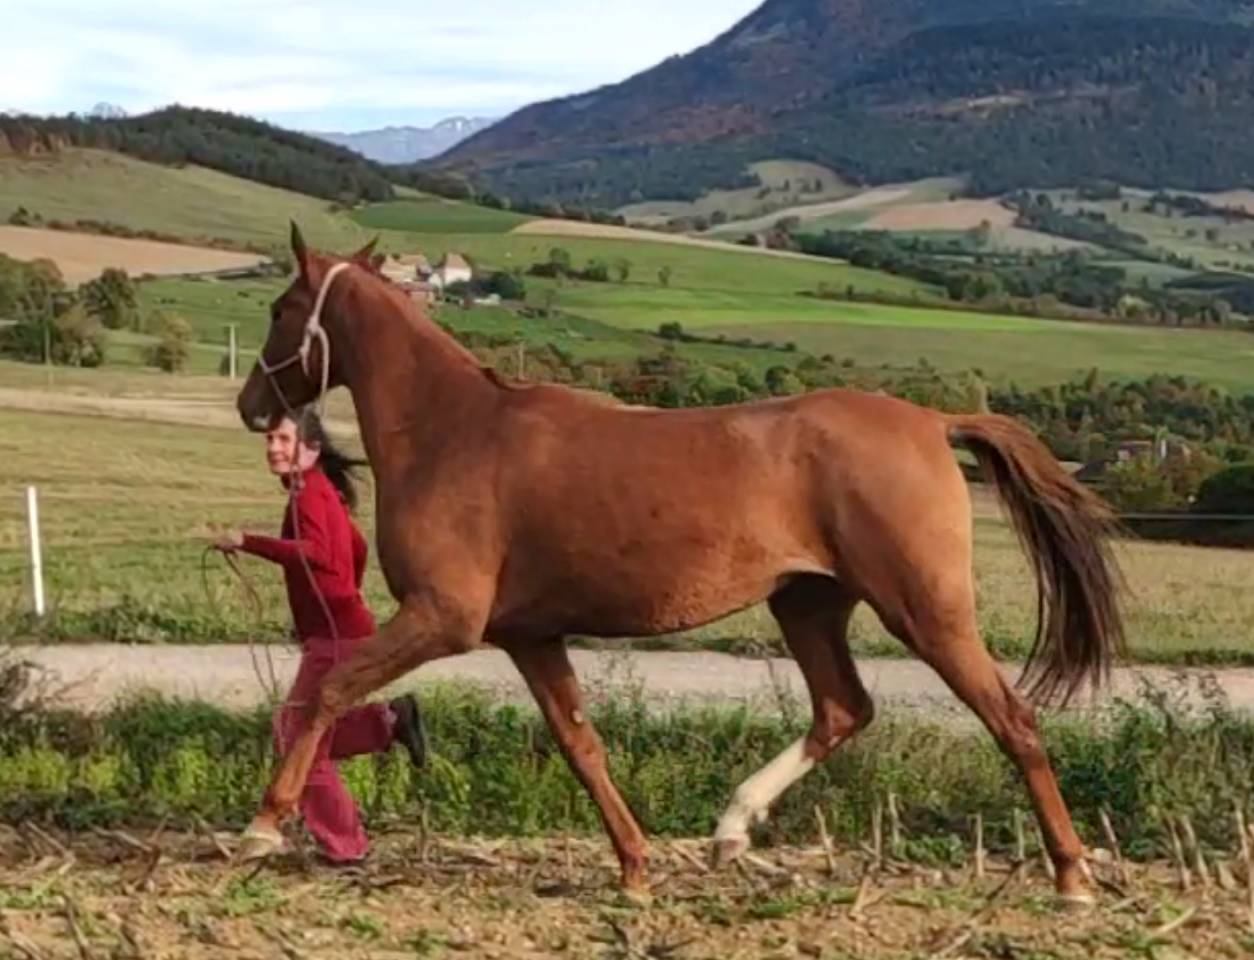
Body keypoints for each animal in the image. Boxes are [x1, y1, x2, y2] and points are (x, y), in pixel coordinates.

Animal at [233, 224, 1125, 904]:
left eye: (280, 308)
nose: (251, 405)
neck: (453, 431)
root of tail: (936, 422)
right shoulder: (530, 635)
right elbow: (582, 744)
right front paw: (634, 869)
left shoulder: (441, 618)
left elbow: (334, 687)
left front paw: (261, 826)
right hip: (807, 603)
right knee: (844, 709)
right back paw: (731, 830)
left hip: (925, 610)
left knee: (1013, 721)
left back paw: (1073, 875)